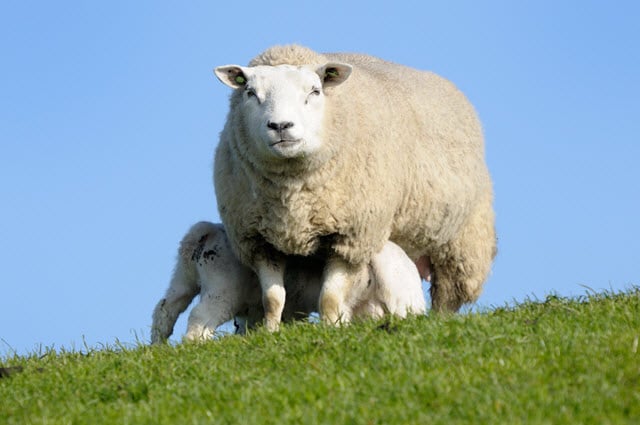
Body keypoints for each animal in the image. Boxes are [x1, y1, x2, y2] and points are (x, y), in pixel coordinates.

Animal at [151, 221, 426, 343]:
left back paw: (159, 345)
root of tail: (206, 232)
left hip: (184, 278)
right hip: (224, 290)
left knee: (166, 307)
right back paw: (195, 344)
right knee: (199, 316)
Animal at [213, 44, 496, 330]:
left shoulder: (351, 237)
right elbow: (272, 298)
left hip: (461, 244)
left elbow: (329, 297)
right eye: (250, 93)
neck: (293, 198)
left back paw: (439, 321)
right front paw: (271, 331)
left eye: (315, 91)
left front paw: (331, 328)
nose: (281, 126)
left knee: (448, 295)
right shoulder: (259, 240)